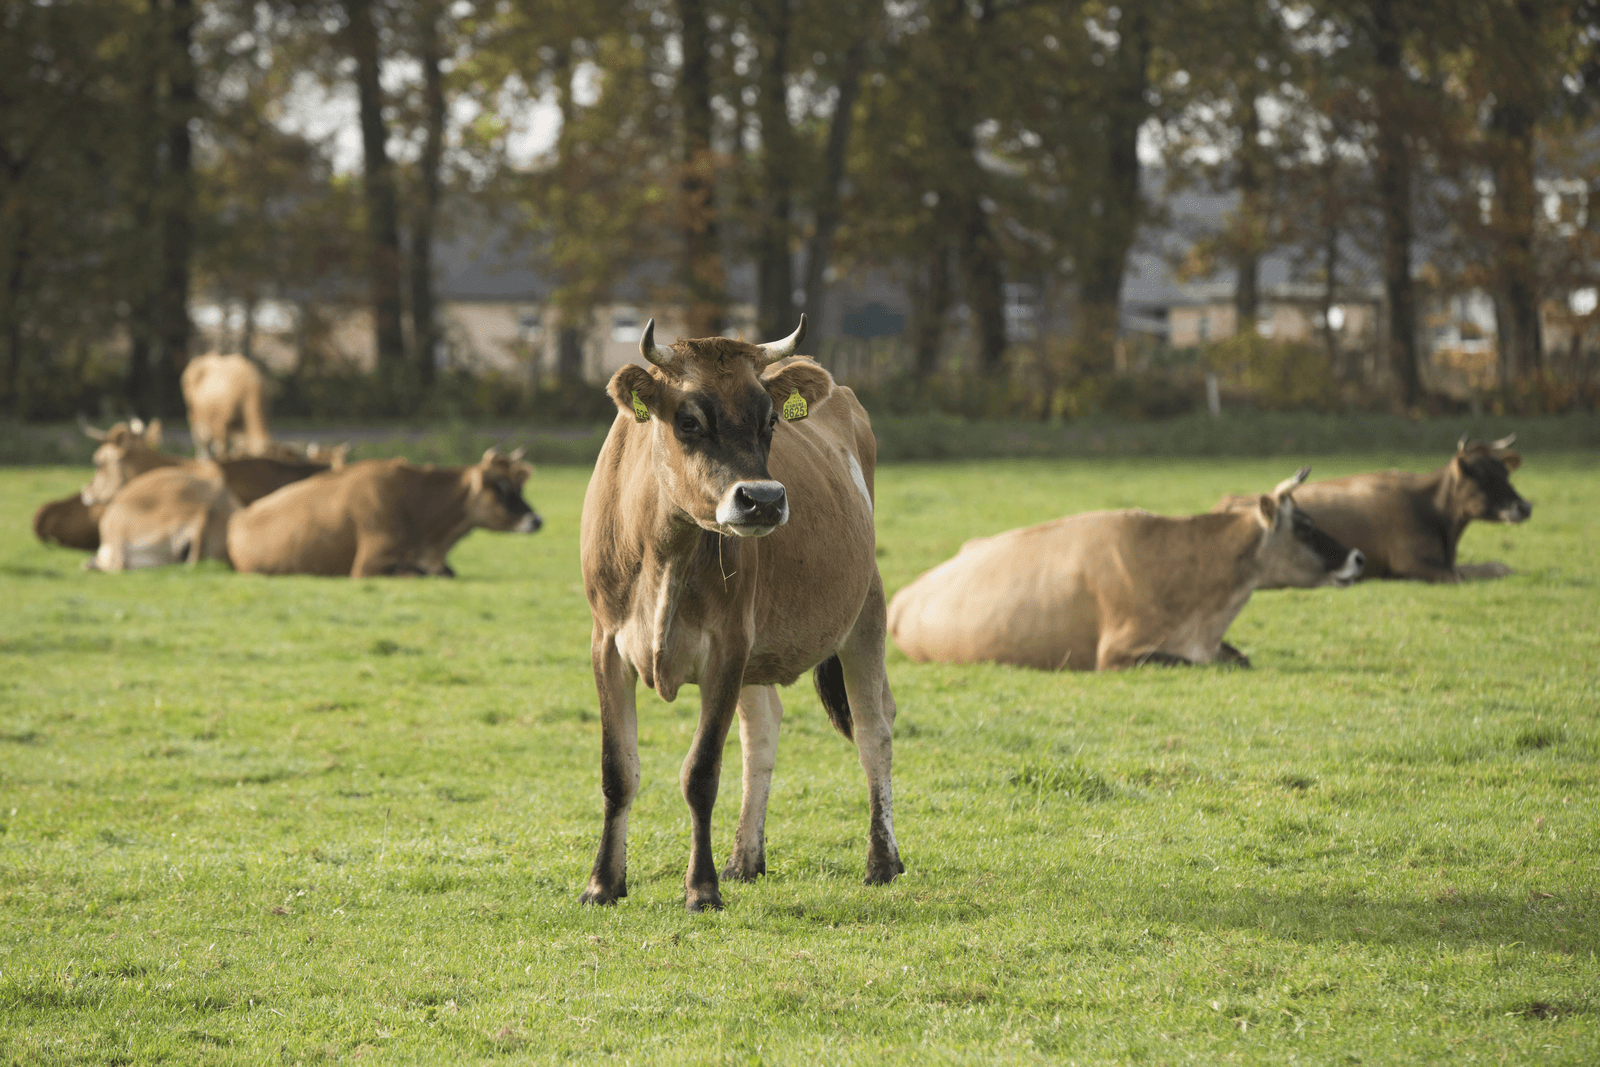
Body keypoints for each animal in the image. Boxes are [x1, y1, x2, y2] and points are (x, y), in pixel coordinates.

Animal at [577, 317, 903, 914]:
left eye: (769, 420)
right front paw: (603, 884)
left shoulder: (728, 645)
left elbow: (702, 772)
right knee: (763, 731)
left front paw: (701, 888)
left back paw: (882, 861)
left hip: (865, 609)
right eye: (689, 420)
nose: (764, 499)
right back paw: (745, 860)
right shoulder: (606, 643)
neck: (664, 550)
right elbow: (618, 771)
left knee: (874, 729)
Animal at [1248, 435, 1532, 583]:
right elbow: (1464, 575)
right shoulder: (1409, 561)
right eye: (1479, 473)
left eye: (1505, 472)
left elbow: (1493, 567)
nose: (1525, 506)